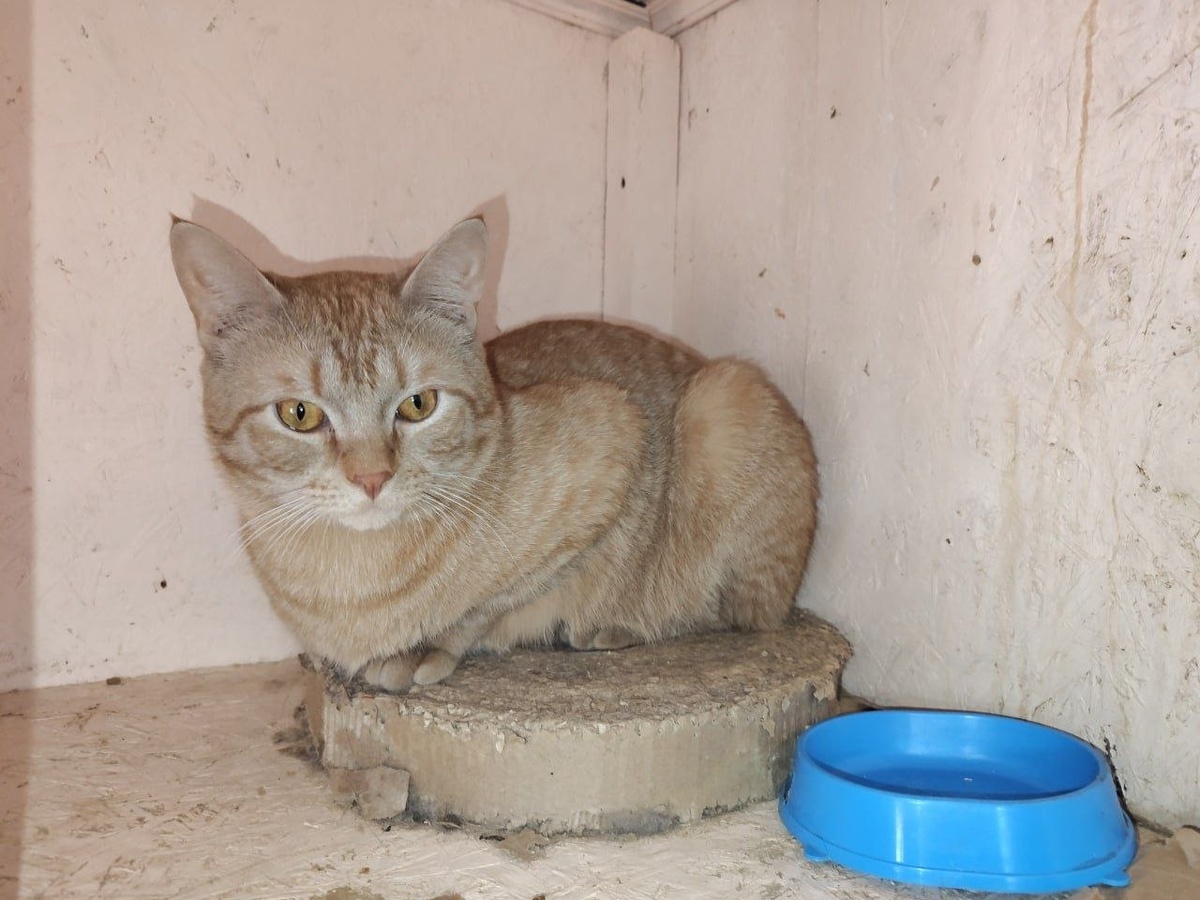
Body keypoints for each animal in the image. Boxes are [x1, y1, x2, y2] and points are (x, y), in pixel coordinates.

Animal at [170, 217, 818, 691]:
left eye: (418, 404)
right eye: (299, 415)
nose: (373, 478)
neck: (343, 579)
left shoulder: (617, 440)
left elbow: (490, 600)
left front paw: (424, 645)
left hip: (725, 400)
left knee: (734, 612)